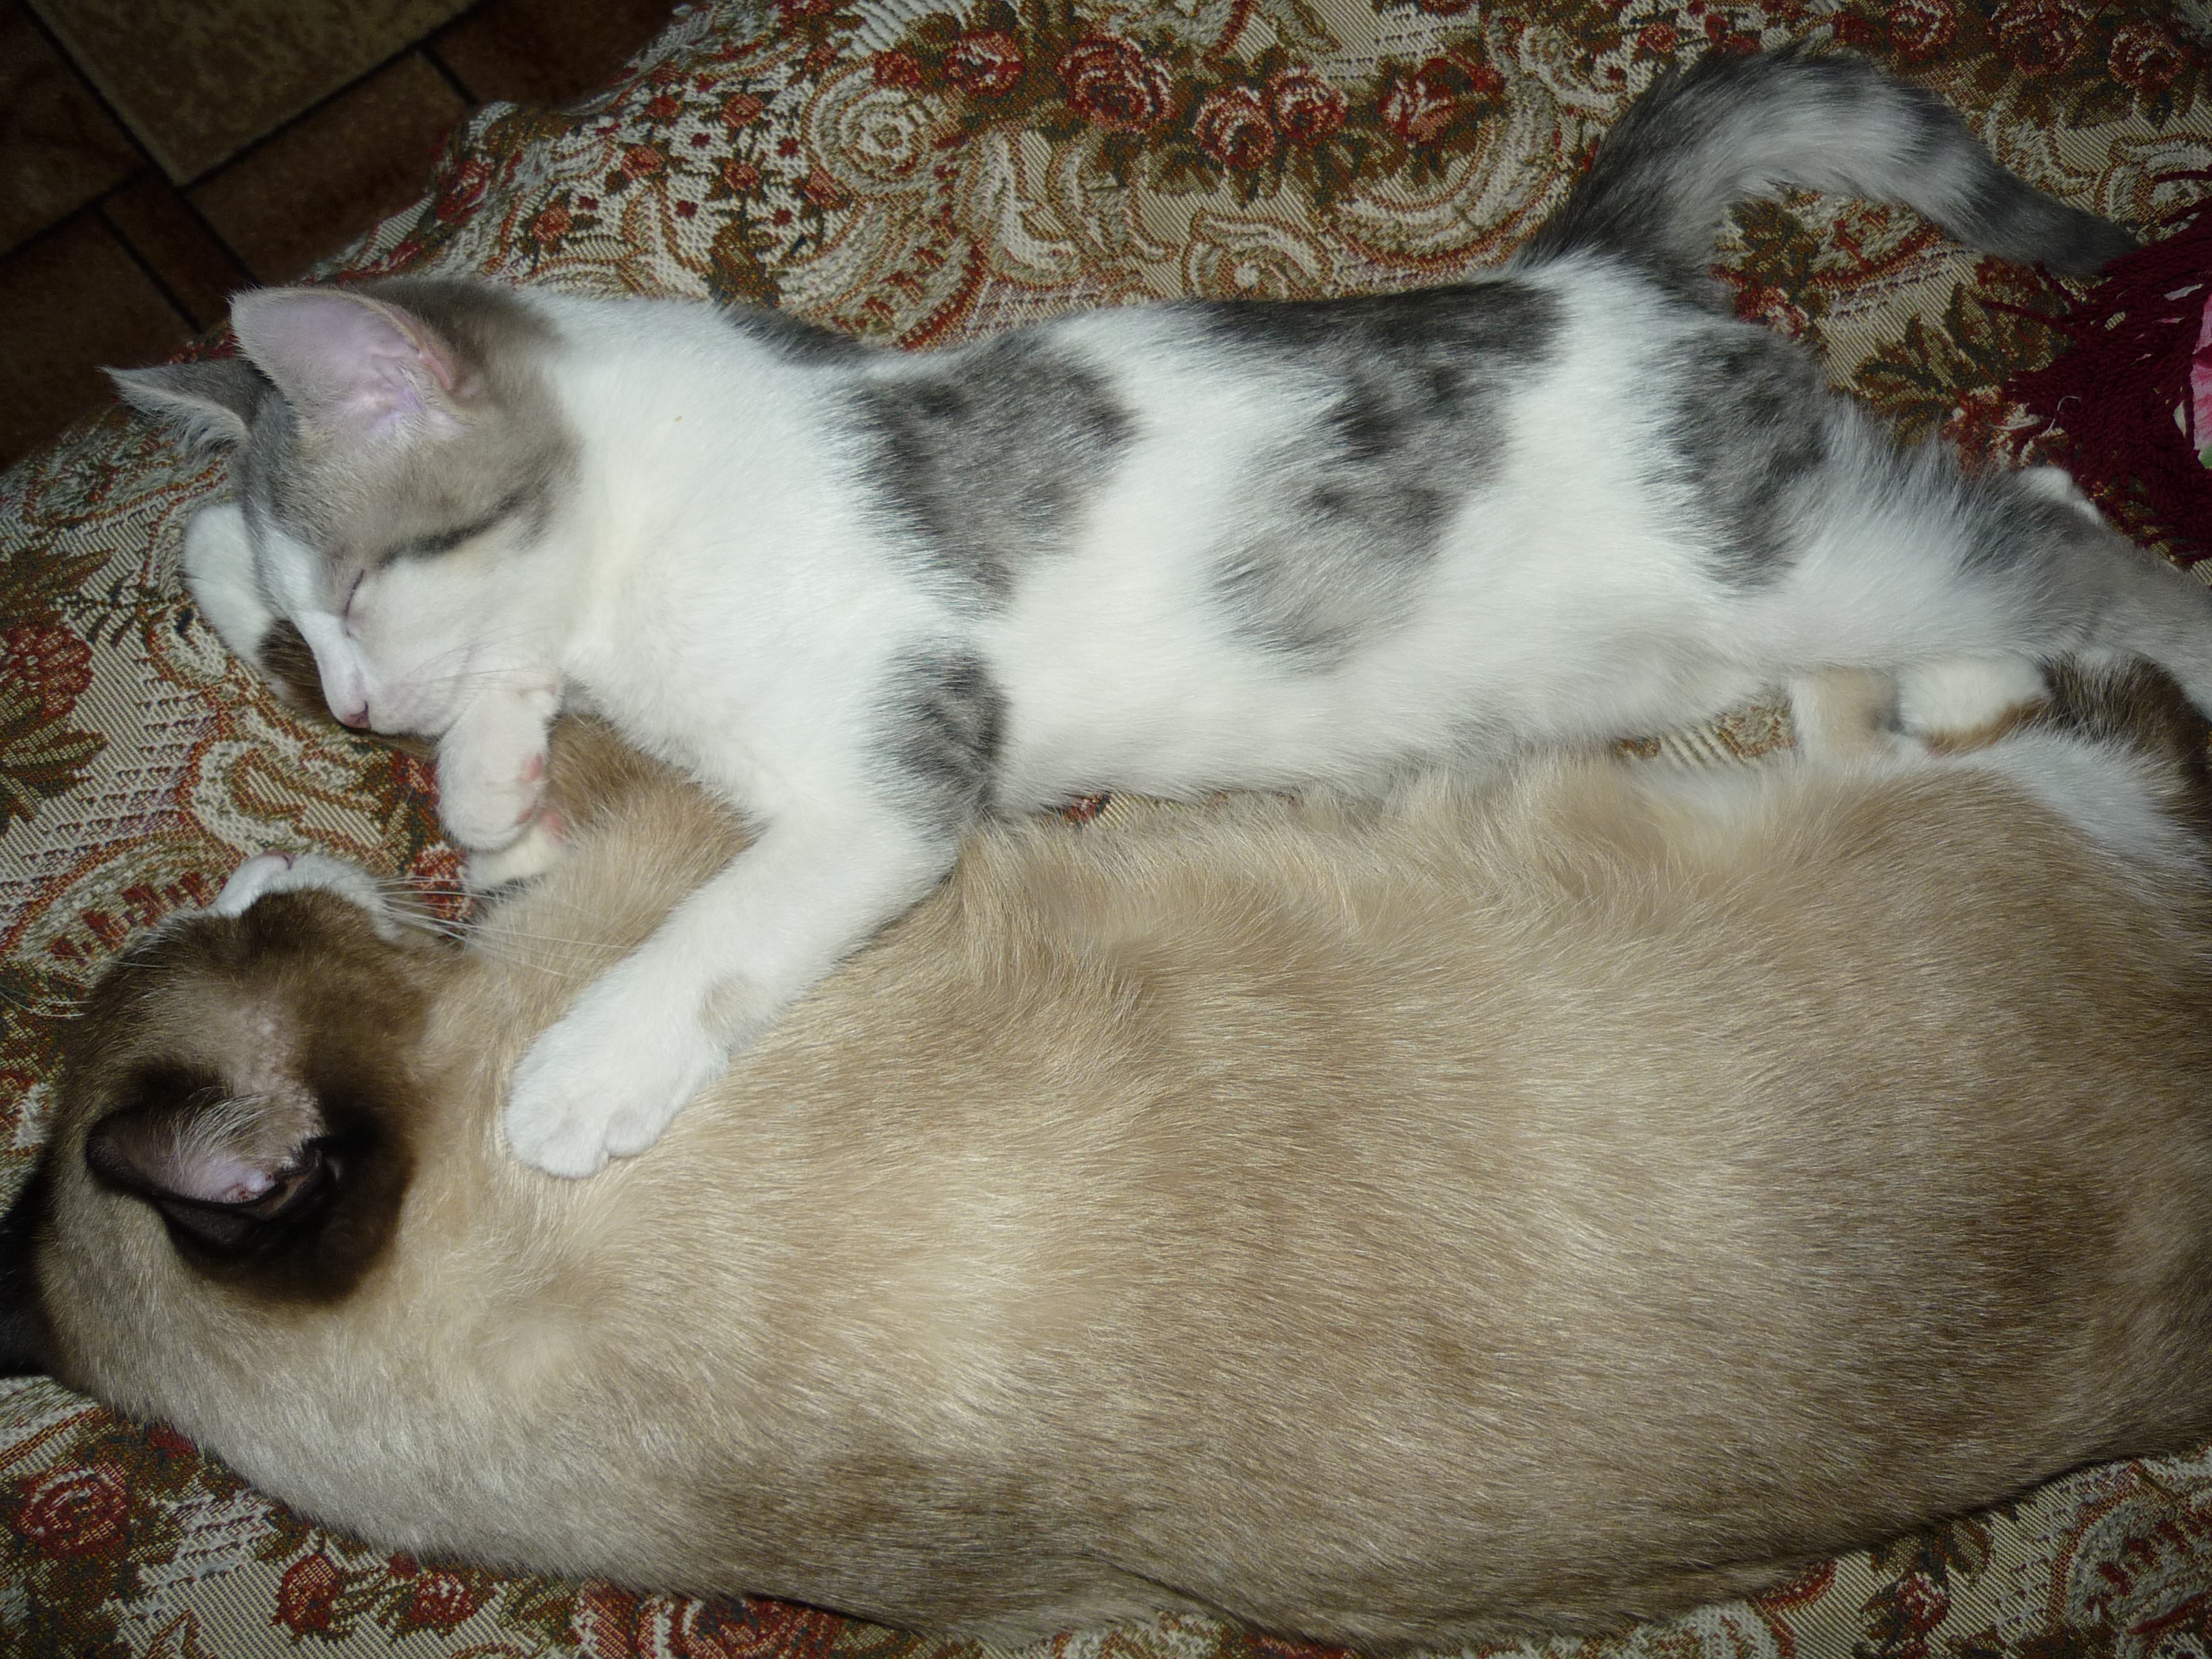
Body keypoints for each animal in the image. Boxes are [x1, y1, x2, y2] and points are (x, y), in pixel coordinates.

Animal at [9, 663, 2212, 1649]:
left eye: (236, 926)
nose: (247, 867)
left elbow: (515, 756)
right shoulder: (692, 854)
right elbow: (552, 742)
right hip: (1903, 818)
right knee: (1982, 725)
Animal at [111, 47, 2198, 1178]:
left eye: (353, 583)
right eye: (297, 640)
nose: (354, 706)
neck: (661, 521)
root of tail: (1588, 275)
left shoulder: (897, 769)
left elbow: (722, 917)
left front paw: (585, 1063)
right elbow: (525, 745)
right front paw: (486, 776)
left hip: (1785, 540)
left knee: (2077, 546)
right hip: (1765, 591)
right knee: (1980, 539)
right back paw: (1939, 694)